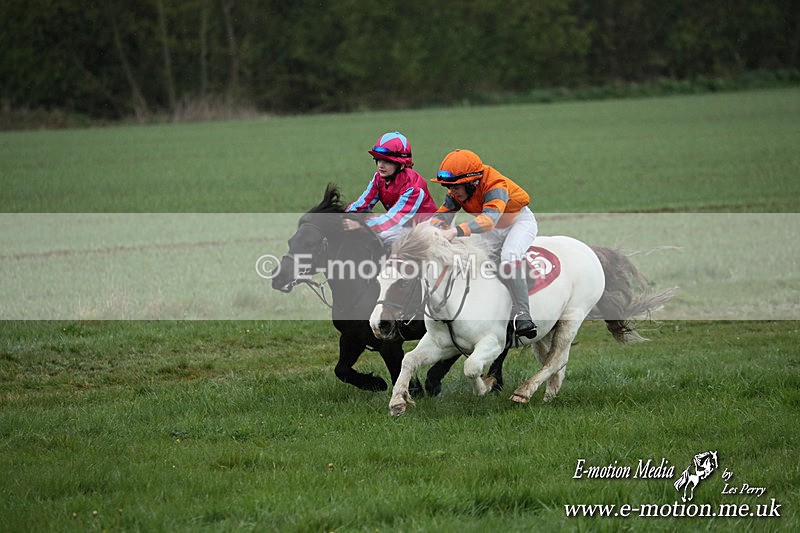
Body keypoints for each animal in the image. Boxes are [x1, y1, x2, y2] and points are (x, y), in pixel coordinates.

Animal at [270, 184, 466, 394]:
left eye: (310, 243)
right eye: (291, 242)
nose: (278, 277)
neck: (360, 289)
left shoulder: (390, 343)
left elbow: (398, 373)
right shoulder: (351, 338)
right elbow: (341, 370)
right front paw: (376, 383)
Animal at [370, 224, 676, 416]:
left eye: (403, 283)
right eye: (379, 281)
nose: (379, 325)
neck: (457, 294)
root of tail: (588, 249)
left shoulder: (493, 343)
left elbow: (471, 367)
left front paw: (487, 386)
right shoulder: (440, 343)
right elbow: (409, 360)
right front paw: (398, 401)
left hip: (572, 316)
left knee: (556, 358)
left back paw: (525, 392)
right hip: (544, 329)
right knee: (555, 360)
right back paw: (549, 394)